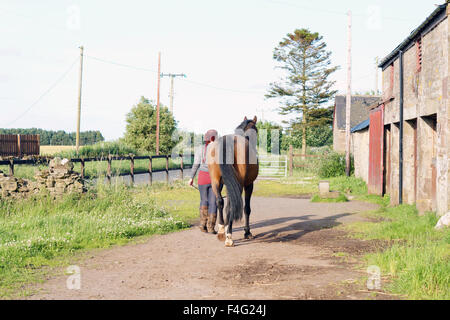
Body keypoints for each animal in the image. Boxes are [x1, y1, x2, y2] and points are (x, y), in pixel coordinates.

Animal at [207, 116, 258, 246]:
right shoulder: (249, 184)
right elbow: (247, 208)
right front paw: (247, 232)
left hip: (216, 181)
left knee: (219, 201)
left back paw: (221, 230)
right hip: (238, 183)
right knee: (232, 206)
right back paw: (229, 236)